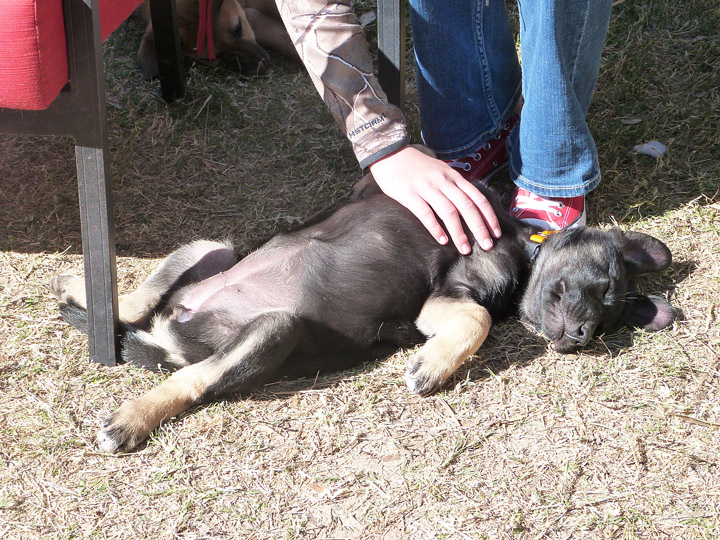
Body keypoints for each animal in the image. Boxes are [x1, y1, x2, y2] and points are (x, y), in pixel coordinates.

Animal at [49, 181, 676, 452]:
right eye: (604, 287)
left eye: (608, 319)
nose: (581, 335)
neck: (523, 256)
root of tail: (168, 337)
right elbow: (475, 316)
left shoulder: (437, 305)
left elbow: (473, 320)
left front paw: (433, 365)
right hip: (212, 248)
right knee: (137, 302)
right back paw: (79, 288)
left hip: (272, 328)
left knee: (190, 377)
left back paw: (131, 416)